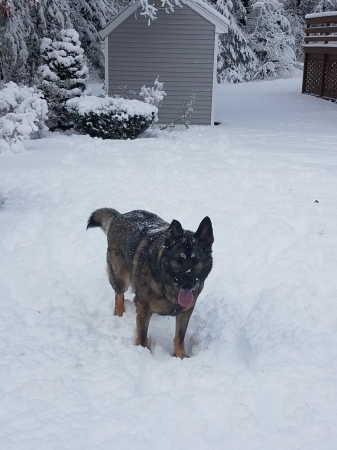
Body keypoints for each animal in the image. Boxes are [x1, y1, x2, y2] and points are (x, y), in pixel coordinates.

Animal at [86, 207, 213, 358]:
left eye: (196, 260)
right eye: (178, 260)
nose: (187, 285)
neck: (168, 287)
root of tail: (119, 216)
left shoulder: (186, 311)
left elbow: (179, 337)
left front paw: (180, 355)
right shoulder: (144, 309)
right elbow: (141, 334)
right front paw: (142, 352)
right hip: (121, 278)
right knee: (119, 295)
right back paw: (119, 315)